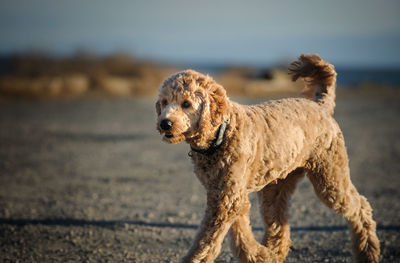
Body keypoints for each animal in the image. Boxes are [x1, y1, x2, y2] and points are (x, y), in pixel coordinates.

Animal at [155, 54, 380, 263]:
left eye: (186, 104)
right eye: (164, 102)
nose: (165, 123)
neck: (222, 132)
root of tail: (320, 105)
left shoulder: (227, 199)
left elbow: (206, 242)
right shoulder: (228, 196)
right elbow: (240, 234)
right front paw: (260, 255)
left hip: (330, 177)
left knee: (361, 207)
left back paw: (368, 252)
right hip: (276, 187)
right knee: (279, 228)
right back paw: (273, 254)